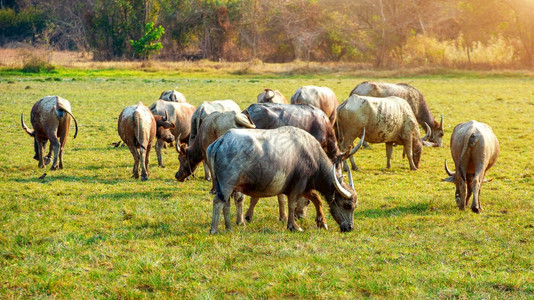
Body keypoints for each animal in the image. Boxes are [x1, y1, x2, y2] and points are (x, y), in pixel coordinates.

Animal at [207, 125, 358, 233]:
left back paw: (229, 227)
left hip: (225, 187)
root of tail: (221, 141)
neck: (312, 156)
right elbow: (292, 204)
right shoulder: (298, 185)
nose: (350, 227)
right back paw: (214, 229)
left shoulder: (304, 187)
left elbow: (316, 199)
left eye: (354, 207)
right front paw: (293, 226)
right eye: (348, 205)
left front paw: (322, 222)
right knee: (218, 203)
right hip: (226, 186)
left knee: (226, 205)